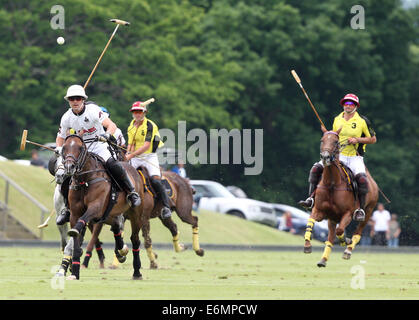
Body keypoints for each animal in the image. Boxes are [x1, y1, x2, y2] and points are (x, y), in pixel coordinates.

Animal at [56, 135, 153, 280]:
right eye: (64, 147)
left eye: (80, 147)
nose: (69, 166)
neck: (85, 180)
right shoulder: (74, 214)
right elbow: (76, 243)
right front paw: (74, 272)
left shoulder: (96, 208)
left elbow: (81, 223)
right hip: (110, 213)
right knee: (116, 227)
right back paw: (121, 251)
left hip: (135, 214)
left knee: (135, 240)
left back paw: (137, 272)